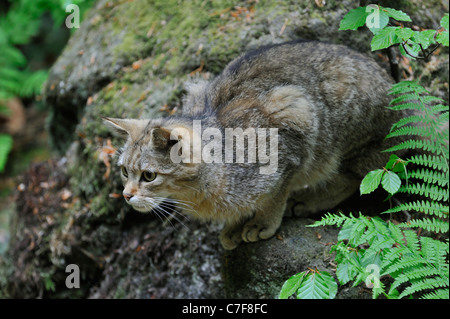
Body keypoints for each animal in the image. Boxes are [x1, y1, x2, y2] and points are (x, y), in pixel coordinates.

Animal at [103, 40, 406, 250]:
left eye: (149, 175)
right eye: (124, 171)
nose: (126, 195)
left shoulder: (291, 123)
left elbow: (275, 196)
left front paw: (262, 222)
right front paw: (234, 224)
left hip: (344, 138)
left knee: (355, 179)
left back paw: (308, 200)